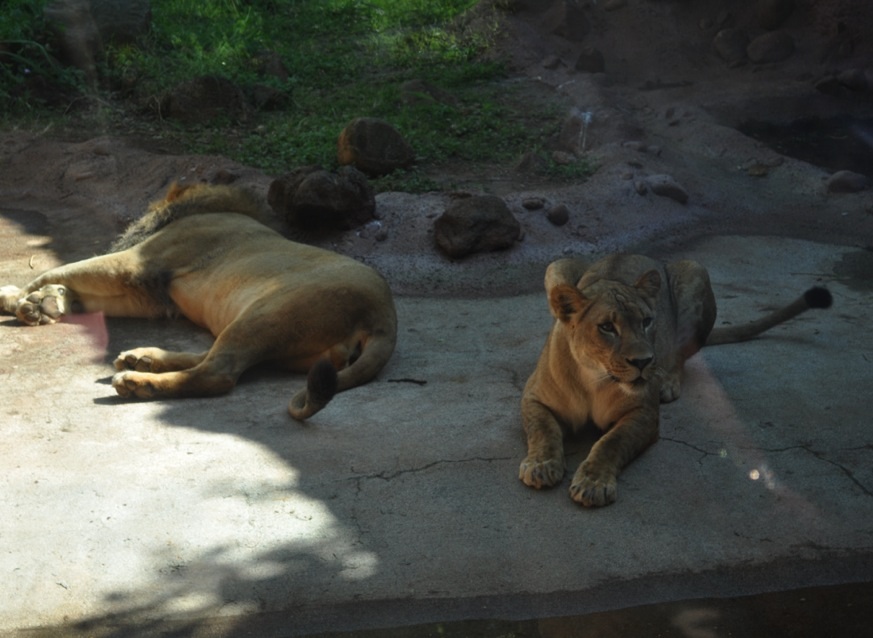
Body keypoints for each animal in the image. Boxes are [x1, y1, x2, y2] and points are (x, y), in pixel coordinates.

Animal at [0, 182, 397, 420]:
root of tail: (384, 316)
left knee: (218, 373)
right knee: (213, 358)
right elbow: (69, 284)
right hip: (281, 340)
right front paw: (47, 303)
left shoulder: (138, 263)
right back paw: (143, 359)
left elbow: (60, 269)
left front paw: (18, 298)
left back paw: (139, 382)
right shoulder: (146, 293)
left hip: (269, 312)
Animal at [519, 254, 832, 507]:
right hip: (557, 265)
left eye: (646, 321)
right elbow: (543, 430)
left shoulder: (644, 414)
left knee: (682, 353)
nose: (643, 361)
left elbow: (610, 443)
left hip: (695, 272)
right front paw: (541, 466)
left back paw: (667, 382)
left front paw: (592, 484)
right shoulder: (533, 398)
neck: (593, 380)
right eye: (607, 327)